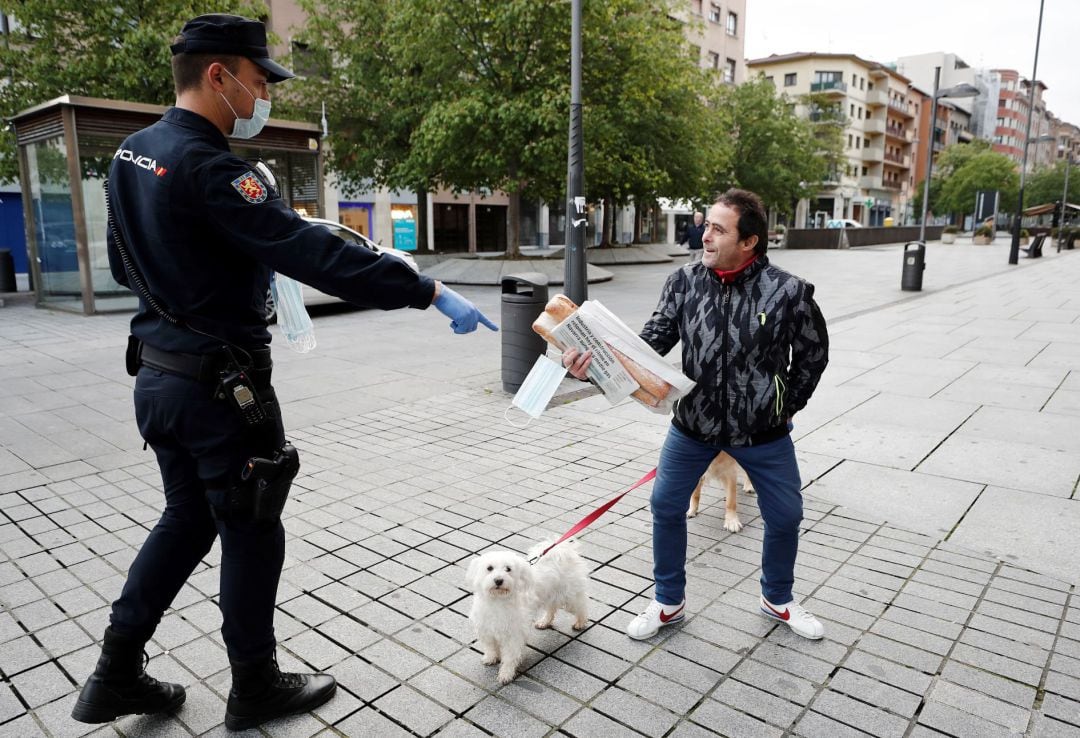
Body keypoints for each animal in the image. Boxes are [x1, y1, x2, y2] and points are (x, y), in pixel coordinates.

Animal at [464, 540, 591, 682]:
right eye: (489, 568)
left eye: (508, 569)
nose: (498, 580)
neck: (498, 601)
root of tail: (560, 550)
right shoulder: (486, 630)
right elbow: (490, 647)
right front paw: (491, 658)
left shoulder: (513, 635)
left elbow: (510, 657)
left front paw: (506, 674)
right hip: (550, 595)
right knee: (552, 608)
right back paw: (544, 622)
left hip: (569, 597)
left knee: (582, 606)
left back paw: (580, 622)